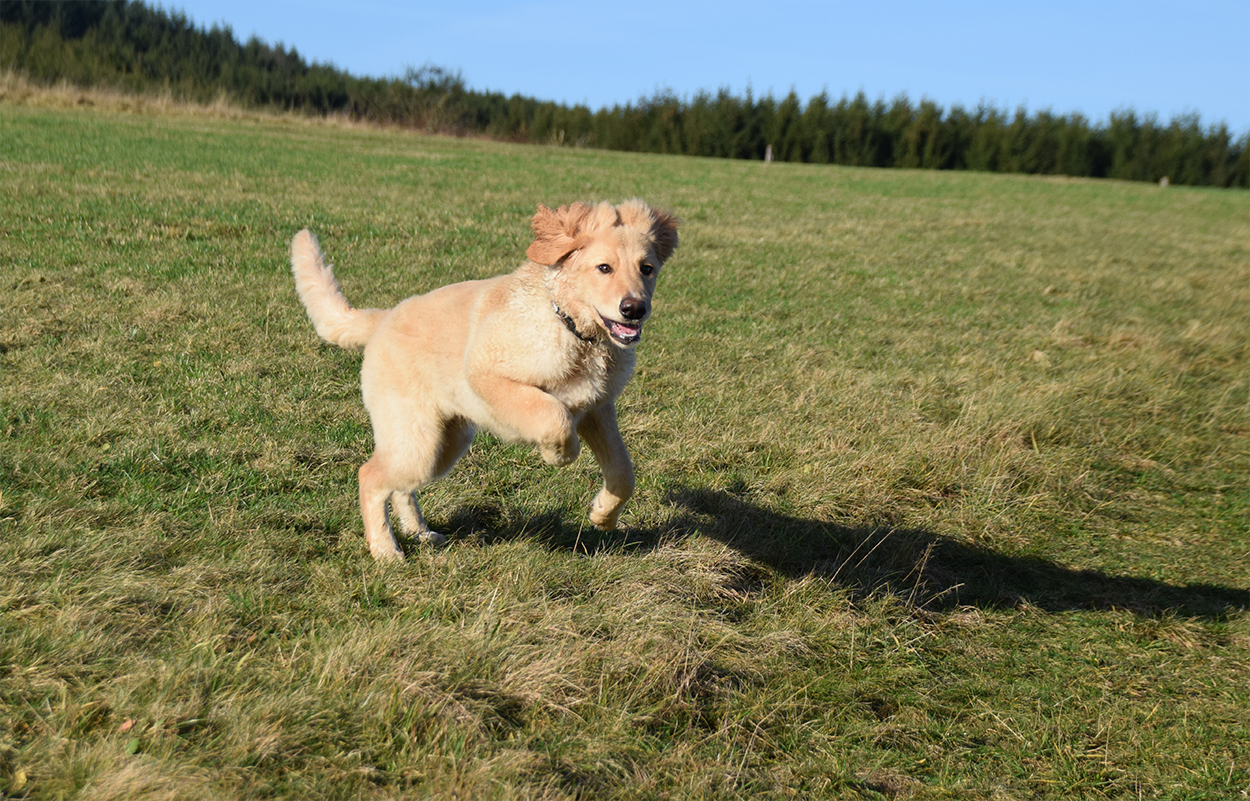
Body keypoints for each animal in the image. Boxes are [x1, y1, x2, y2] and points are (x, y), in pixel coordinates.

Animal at [291, 200, 679, 560]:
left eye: (647, 269)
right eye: (604, 268)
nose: (634, 309)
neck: (571, 328)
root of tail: (383, 318)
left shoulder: (597, 408)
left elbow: (623, 472)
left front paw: (603, 516)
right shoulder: (487, 373)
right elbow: (552, 416)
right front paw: (557, 454)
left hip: (443, 444)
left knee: (400, 487)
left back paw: (419, 533)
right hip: (415, 440)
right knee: (369, 477)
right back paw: (386, 551)